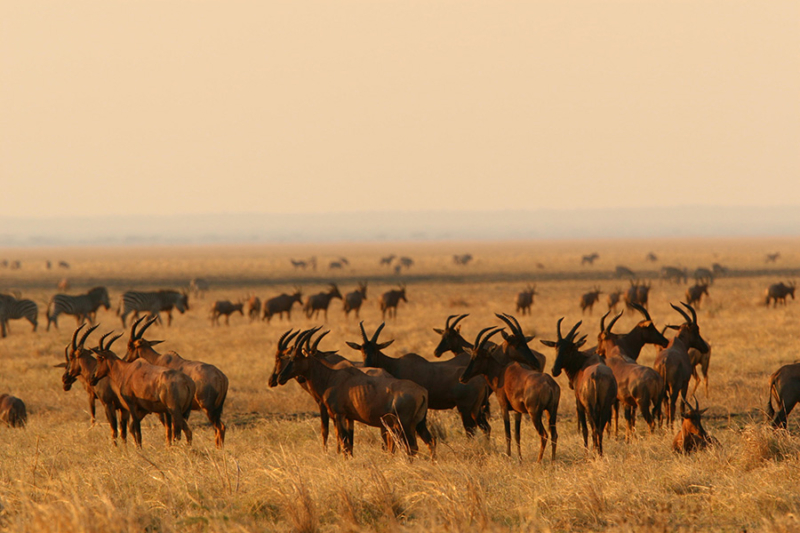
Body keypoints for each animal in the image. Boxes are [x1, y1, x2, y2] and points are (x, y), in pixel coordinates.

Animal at [123, 318, 228, 446]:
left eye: (130, 346)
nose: (124, 360)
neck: (158, 360)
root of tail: (221, 376)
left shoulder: (168, 409)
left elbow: (169, 428)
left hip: (208, 408)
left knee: (220, 427)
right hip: (217, 409)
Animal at [276, 326, 438, 456]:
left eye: (295, 358)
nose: (280, 377)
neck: (332, 376)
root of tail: (422, 392)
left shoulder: (339, 415)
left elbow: (343, 442)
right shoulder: (349, 417)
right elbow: (349, 444)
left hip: (403, 423)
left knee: (411, 447)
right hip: (418, 423)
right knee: (429, 441)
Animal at [350, 320, 494, 436]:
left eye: (376, 349)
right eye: (361, 349)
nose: (367, 366)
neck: (396, 364)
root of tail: (481, 381)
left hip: (465, 409)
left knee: (471, 430)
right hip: (476, 409)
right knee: (486, 427)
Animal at [540, 318, 616, 456]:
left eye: (569, 349)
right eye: (556, 347)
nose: (554, 370)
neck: (584, 362)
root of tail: (597, 375)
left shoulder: (579, 403)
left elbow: (585, 429)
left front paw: (586, 455)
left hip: (590, 407)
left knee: (593, 429)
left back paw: (593, 453)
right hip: (605, 406)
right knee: (599, 428)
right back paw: (600, 453)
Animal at [592, 308, 668, 436]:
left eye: (599, 338)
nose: (598, 351)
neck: (616, 354)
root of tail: (655, 377)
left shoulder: (616, 399)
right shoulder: (627, 401)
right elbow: (629, 420)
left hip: (643, 403)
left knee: (651, 422)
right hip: (656, 400)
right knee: (660, 417)